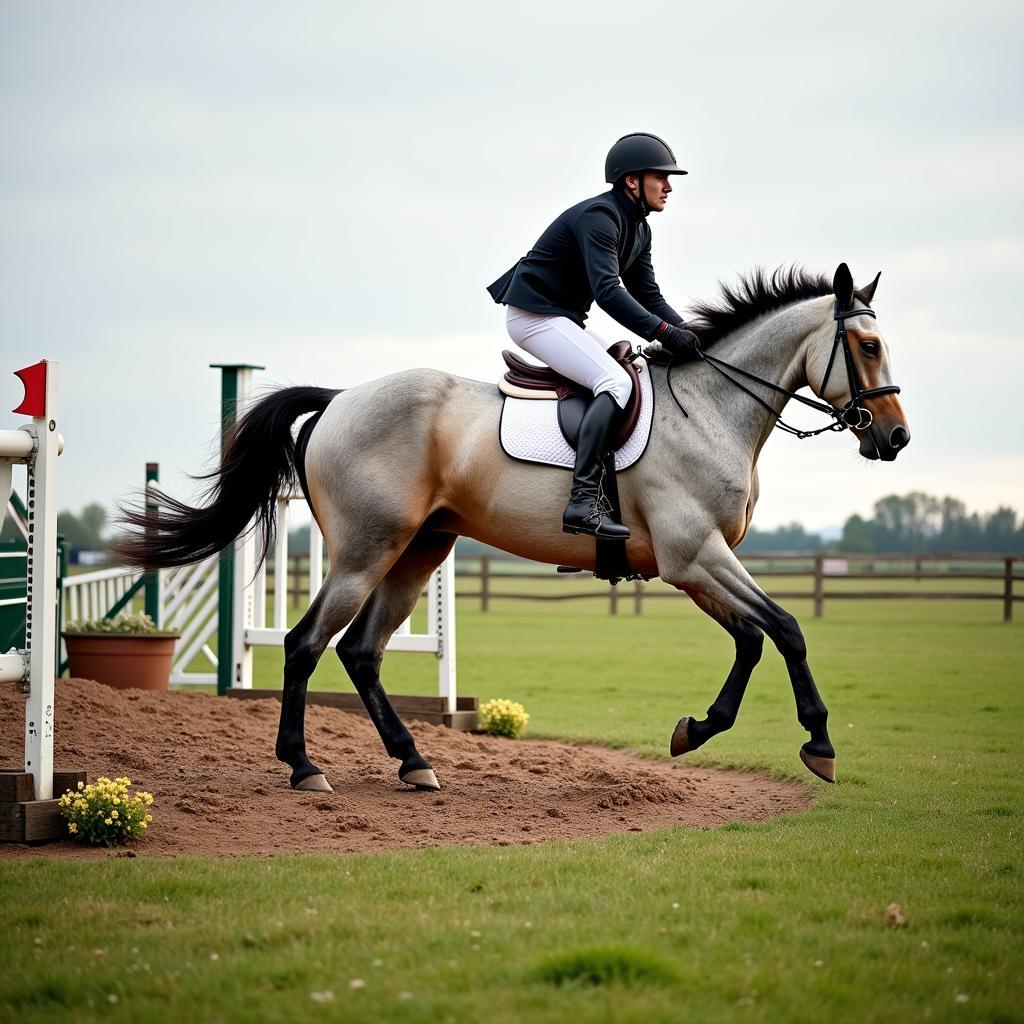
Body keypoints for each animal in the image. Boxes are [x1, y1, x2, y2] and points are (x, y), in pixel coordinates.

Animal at [114, 262, 913, 790]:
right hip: (366, 552)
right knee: (306, 644)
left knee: (363, 653)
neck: (712, 410)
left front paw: (695, 730)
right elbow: (786, 628)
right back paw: (305, 767)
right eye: (868, 347)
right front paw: (819, 742)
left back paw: (414, 762)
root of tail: (341, 398)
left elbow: (752, 638)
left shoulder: (690, 567)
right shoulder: (697, 558)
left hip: (421, 551)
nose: (895, 438)